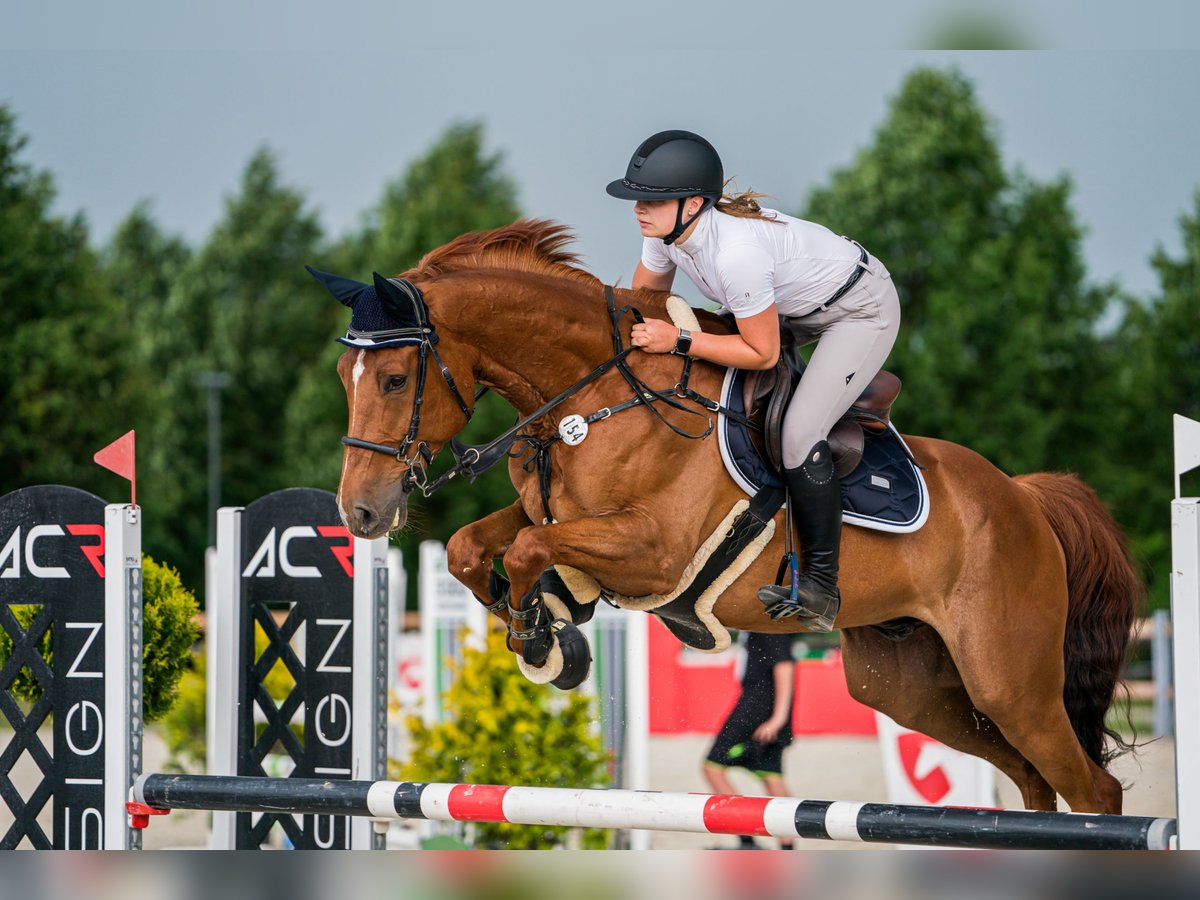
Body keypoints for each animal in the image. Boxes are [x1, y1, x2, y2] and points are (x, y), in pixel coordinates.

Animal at [324, 220, 1137, 816]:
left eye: (393, 379)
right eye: (345, 377)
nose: (360, 512)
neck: (595, 396)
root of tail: (1024, 497)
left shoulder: (654, 551)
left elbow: (527, 549)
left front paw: (542, 636)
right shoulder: (548, 508)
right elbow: (476, 546)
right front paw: (549, 625)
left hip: (1008, 679)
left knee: (1091, 787)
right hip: (912, 687)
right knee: (1032, 780)